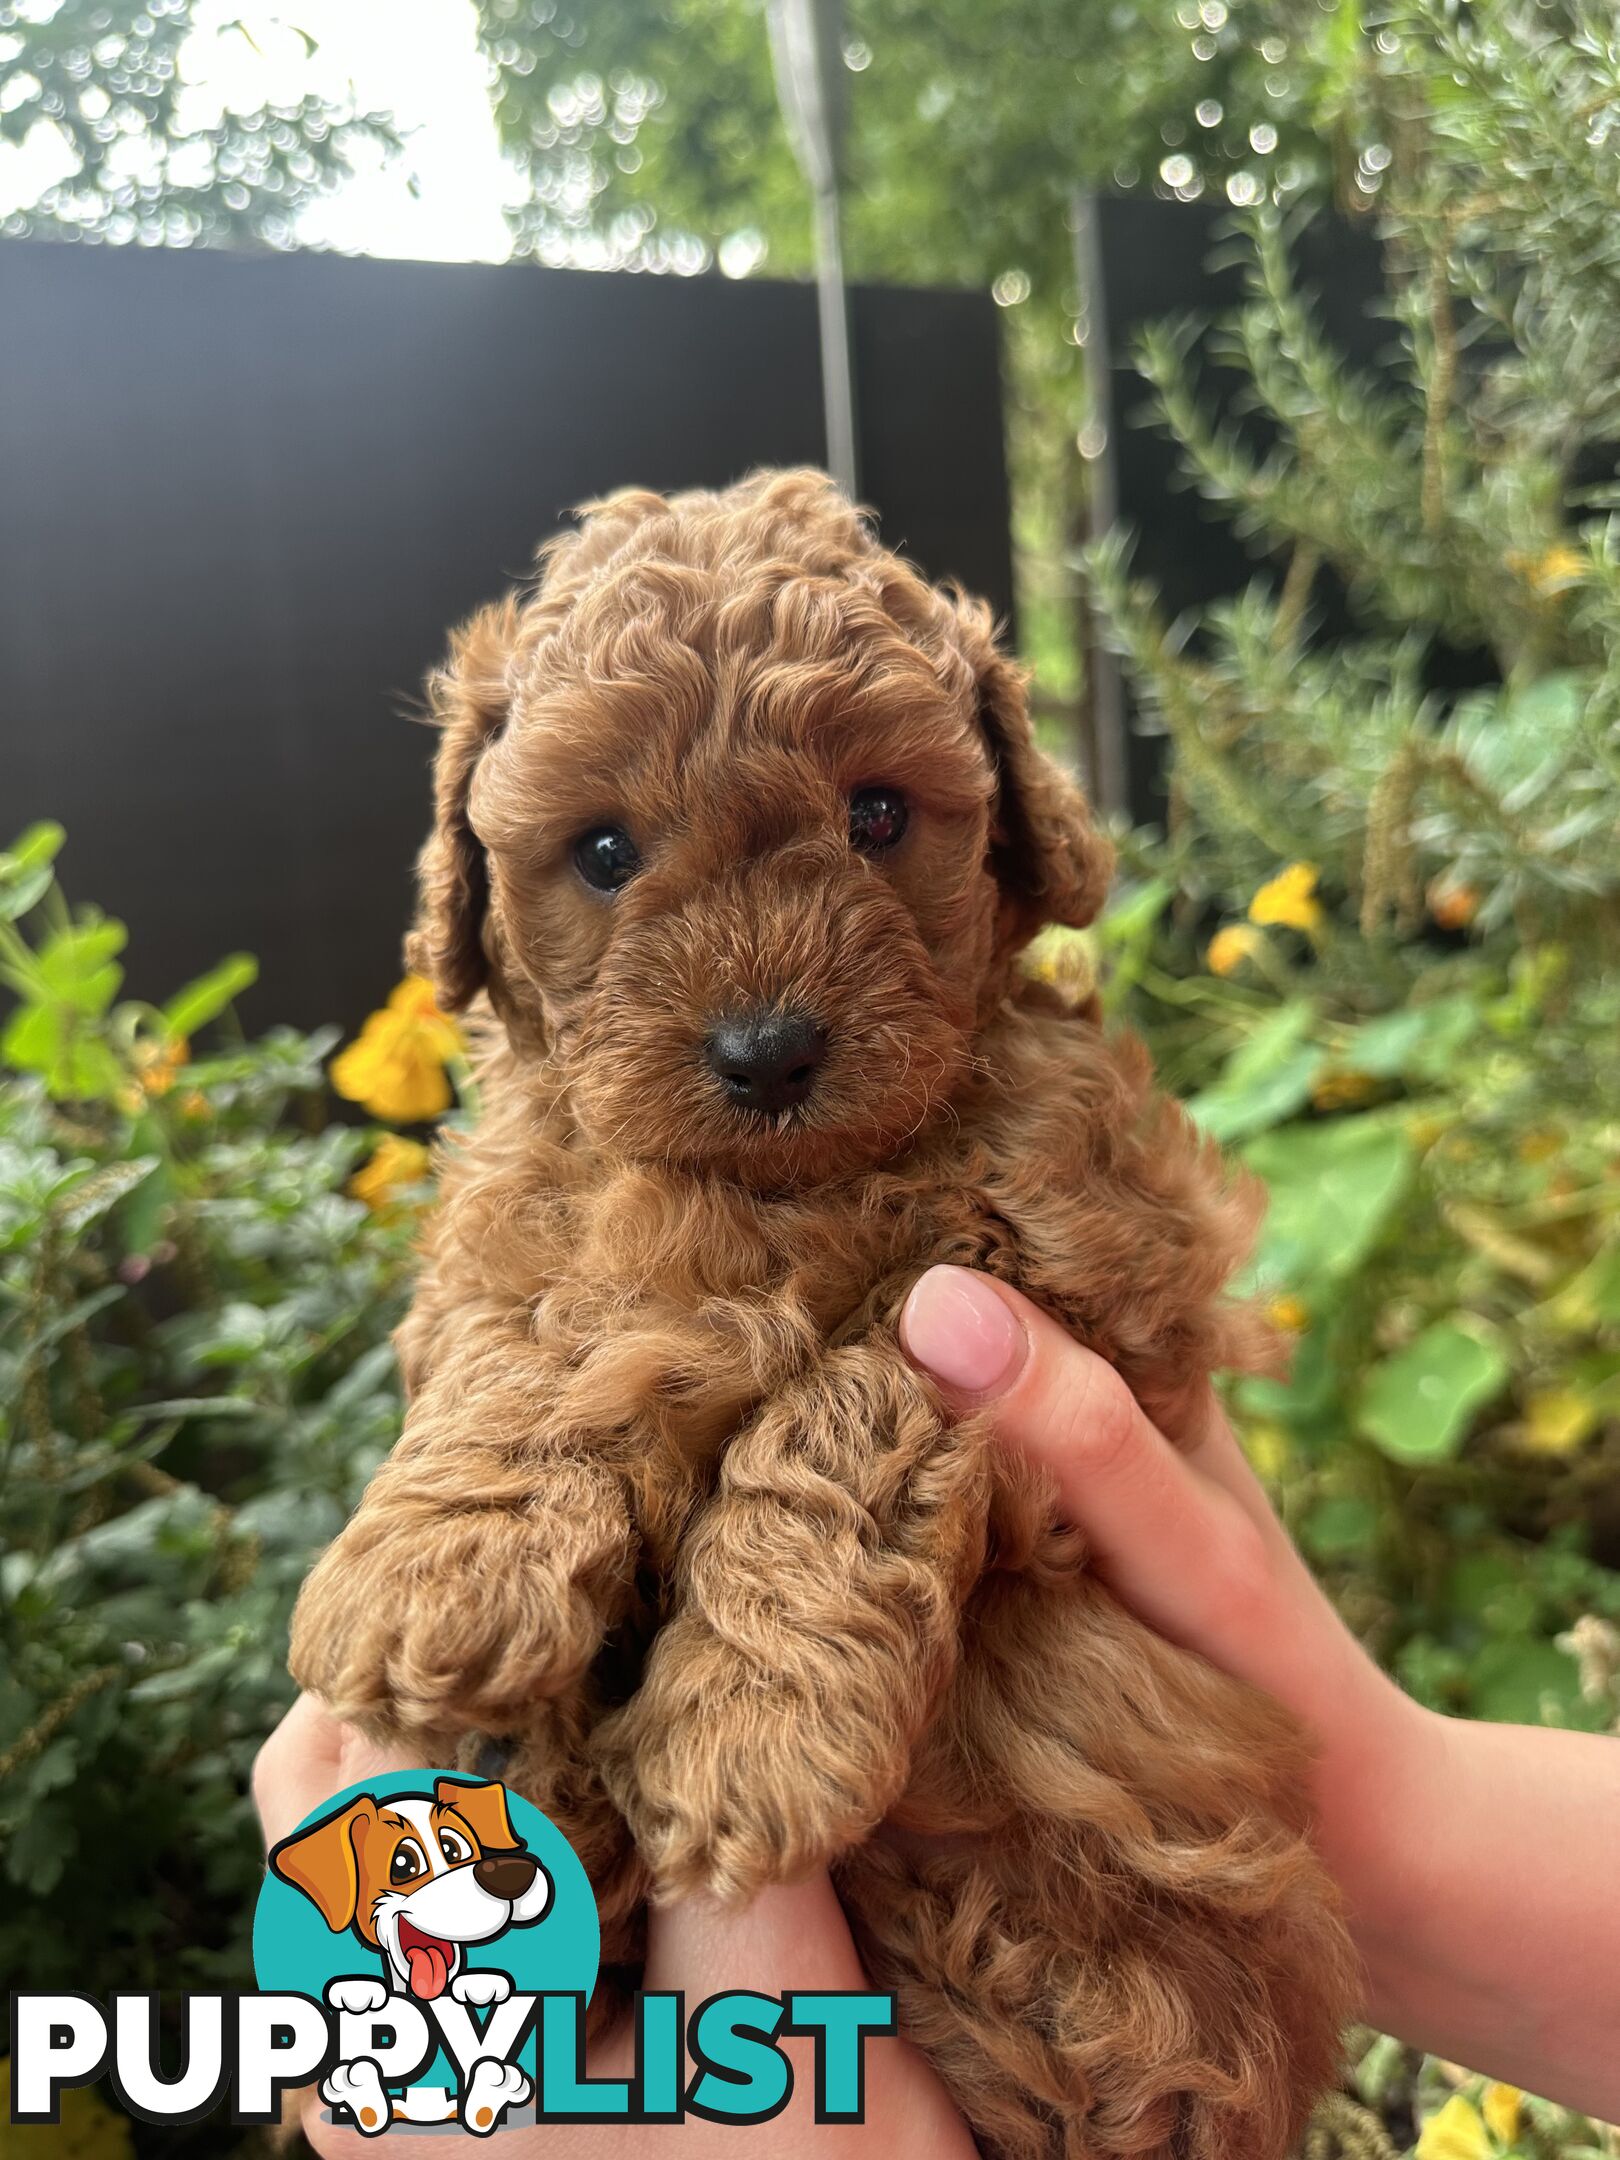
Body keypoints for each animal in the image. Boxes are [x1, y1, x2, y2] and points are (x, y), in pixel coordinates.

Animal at [289, 464, 1356, 2151]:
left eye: (878, 817)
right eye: (604, 851)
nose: (769, 1050)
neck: (768, 1191)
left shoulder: (1075, 1272)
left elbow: (844, 1412)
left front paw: (754, 1728)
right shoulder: (511, 1218)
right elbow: (520, 1339)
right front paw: (438, 1568)